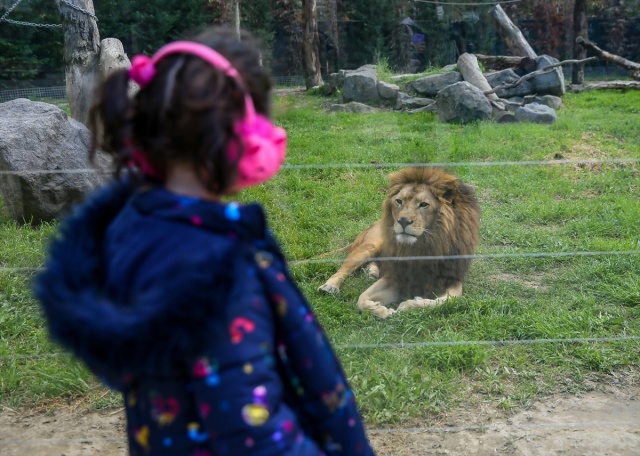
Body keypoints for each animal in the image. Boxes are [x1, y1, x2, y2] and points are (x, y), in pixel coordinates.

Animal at [318, 166, 478, 318]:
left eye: (424, 204)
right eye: (399, 201)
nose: (403, 221)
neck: (422, 248)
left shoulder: (453, 280)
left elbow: (447, 300)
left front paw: (409, 304)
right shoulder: (396, 276)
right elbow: (361, 299)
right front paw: (382, 310)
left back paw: (372, 272)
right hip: (369, 246)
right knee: (344, 268)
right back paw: (329, 286)